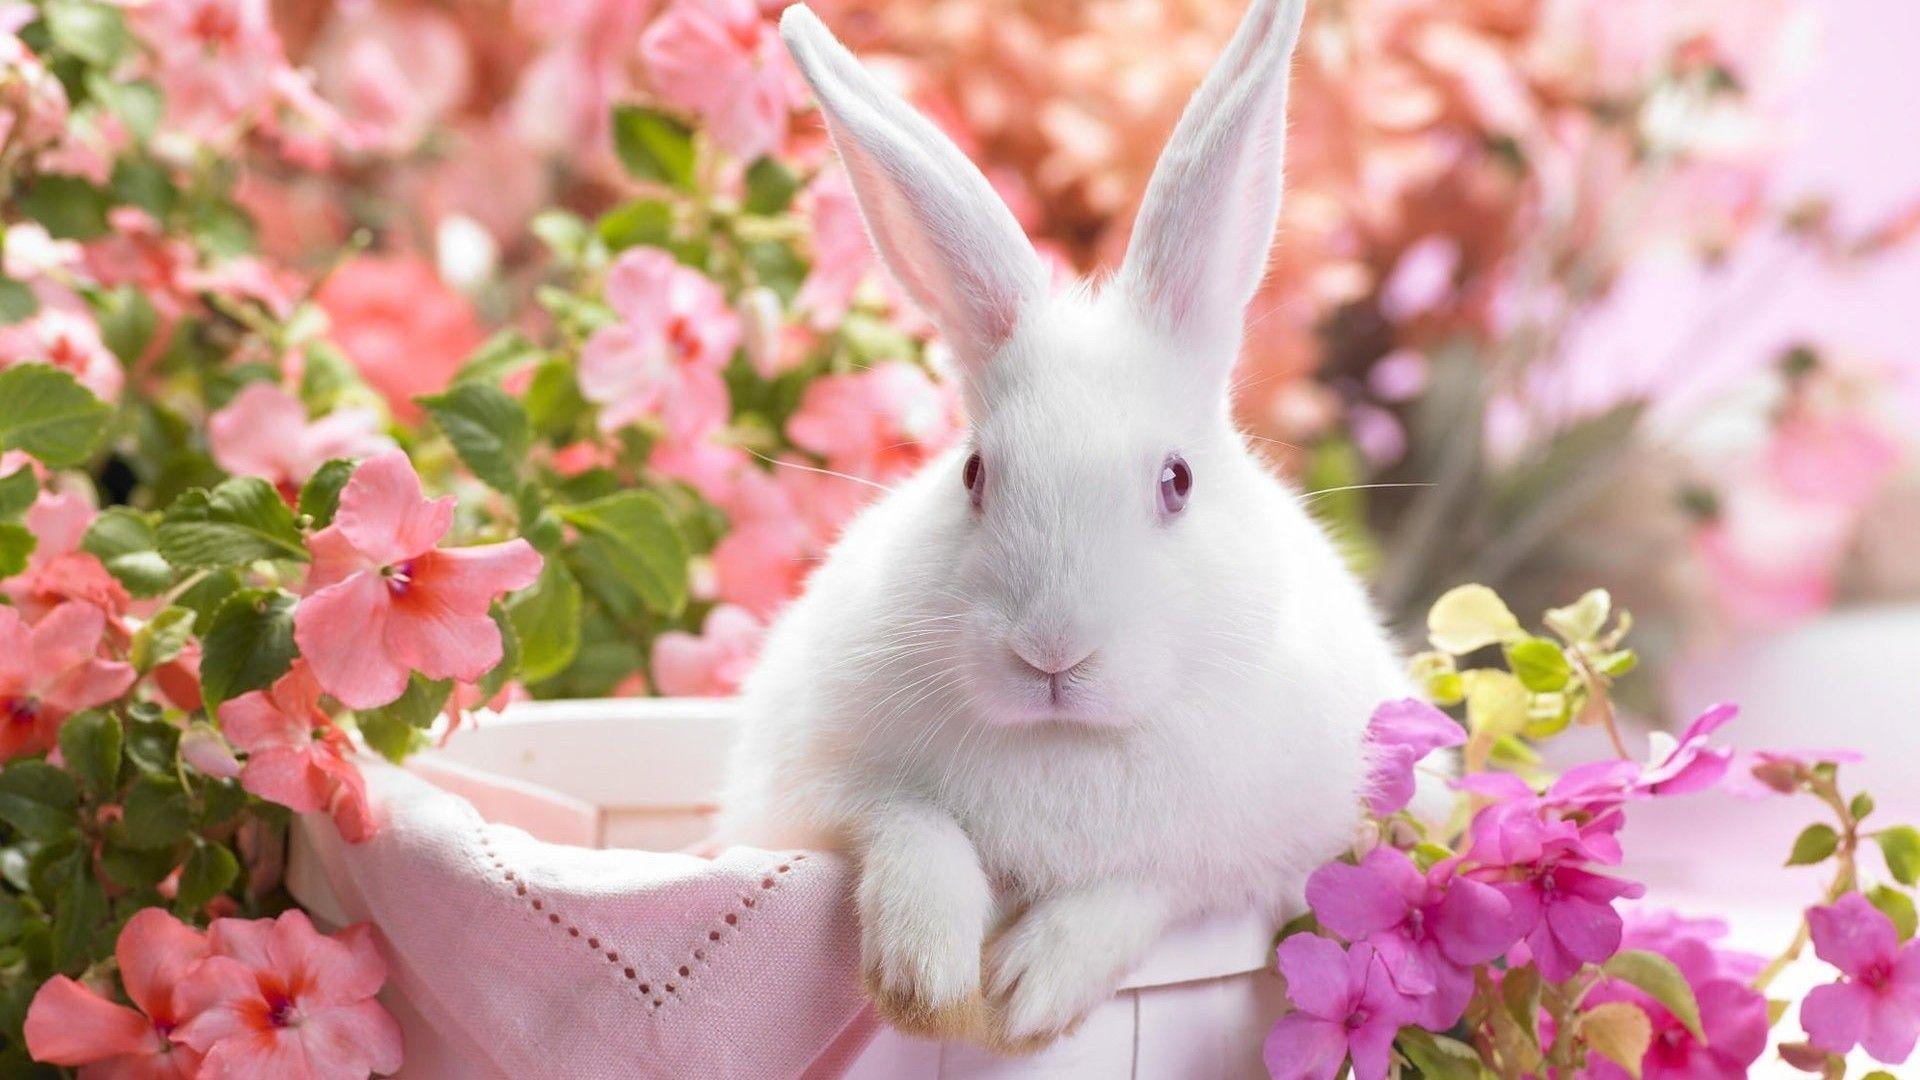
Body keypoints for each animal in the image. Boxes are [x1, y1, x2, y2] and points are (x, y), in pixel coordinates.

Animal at [718, 0, 1417, 1053]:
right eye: (974, 474)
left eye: (1176, 481)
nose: (1052, 652)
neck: (1065, 742)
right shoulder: (814, 789)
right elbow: (910, 827)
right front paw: (927, 981)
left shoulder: (1256, 853)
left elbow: (1140, 888)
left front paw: (1025, 992)